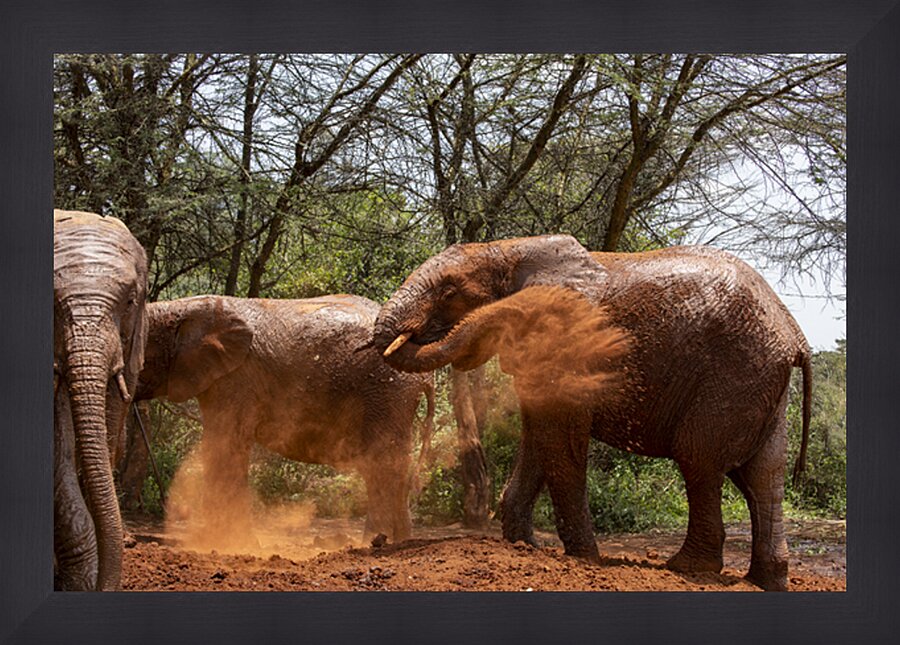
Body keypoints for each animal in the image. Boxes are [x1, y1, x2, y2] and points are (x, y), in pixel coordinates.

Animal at [135, 294, 434, 544]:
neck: (186, 307)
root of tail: (425, 377)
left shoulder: (235, 379)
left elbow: (226, 446)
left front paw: (229, 545)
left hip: (385, 392)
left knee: (382, 467)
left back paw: (374, 542)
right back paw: (398, 542)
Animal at [373, 234, 811, 591]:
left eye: (449, 291)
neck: (509, 248)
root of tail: (796, 336)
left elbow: (559, 439)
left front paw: (585, 558)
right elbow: (538, 436)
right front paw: (523, 546)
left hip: (733, 375)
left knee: (699, 459)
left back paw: (686, 569)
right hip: (761, 384)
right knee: (763, 476)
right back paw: (765, 581)